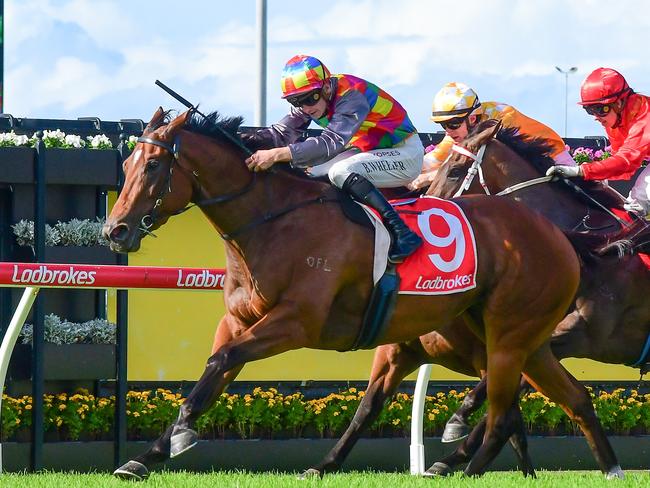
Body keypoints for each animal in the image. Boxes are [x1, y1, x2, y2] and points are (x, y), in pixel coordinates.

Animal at [102, 108, 616, 478]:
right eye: (125, 164)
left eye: (153, 164)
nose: (115, 230)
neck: (274, 220)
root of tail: (557, 234)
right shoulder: (237, 321)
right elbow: (212, 373)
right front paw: (147, 455)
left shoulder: (296, 322)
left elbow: (221, 362)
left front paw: (177, 438)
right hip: (515, 340)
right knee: (568, 398)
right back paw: (605, 467)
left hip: (507, 337)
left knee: (501, 415)